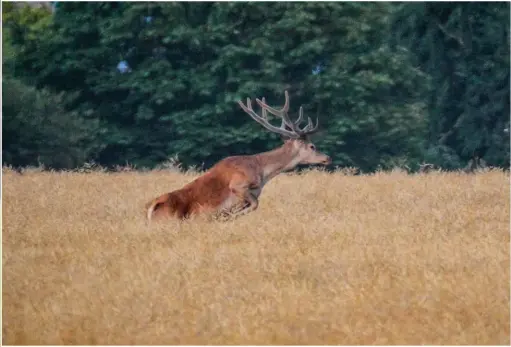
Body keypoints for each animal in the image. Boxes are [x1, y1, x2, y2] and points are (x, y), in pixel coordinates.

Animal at [147, 91, 332, 222]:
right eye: (312, 146)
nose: (327, 158)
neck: (262, 172)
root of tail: (150, 211)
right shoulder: (238, 184)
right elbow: (255, 204)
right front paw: (231, 215)